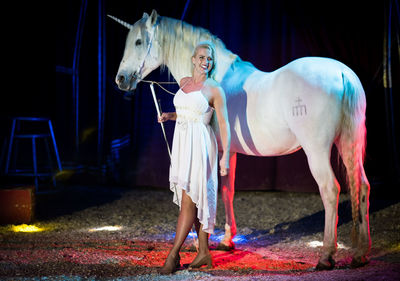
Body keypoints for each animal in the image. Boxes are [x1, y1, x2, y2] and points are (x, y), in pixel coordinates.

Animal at [110, 9, 372, 268]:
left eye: (138, 41)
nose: (120, 79)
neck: (216, 75)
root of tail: (342, 73)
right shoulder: (229, 151)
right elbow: (228, 190)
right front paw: (227, 240)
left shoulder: (216, 150)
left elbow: (211, 192)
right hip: (348, 144)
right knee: (362, 187)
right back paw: (360, 253)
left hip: (316, 150)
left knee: (330, 190)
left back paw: (326, 256)